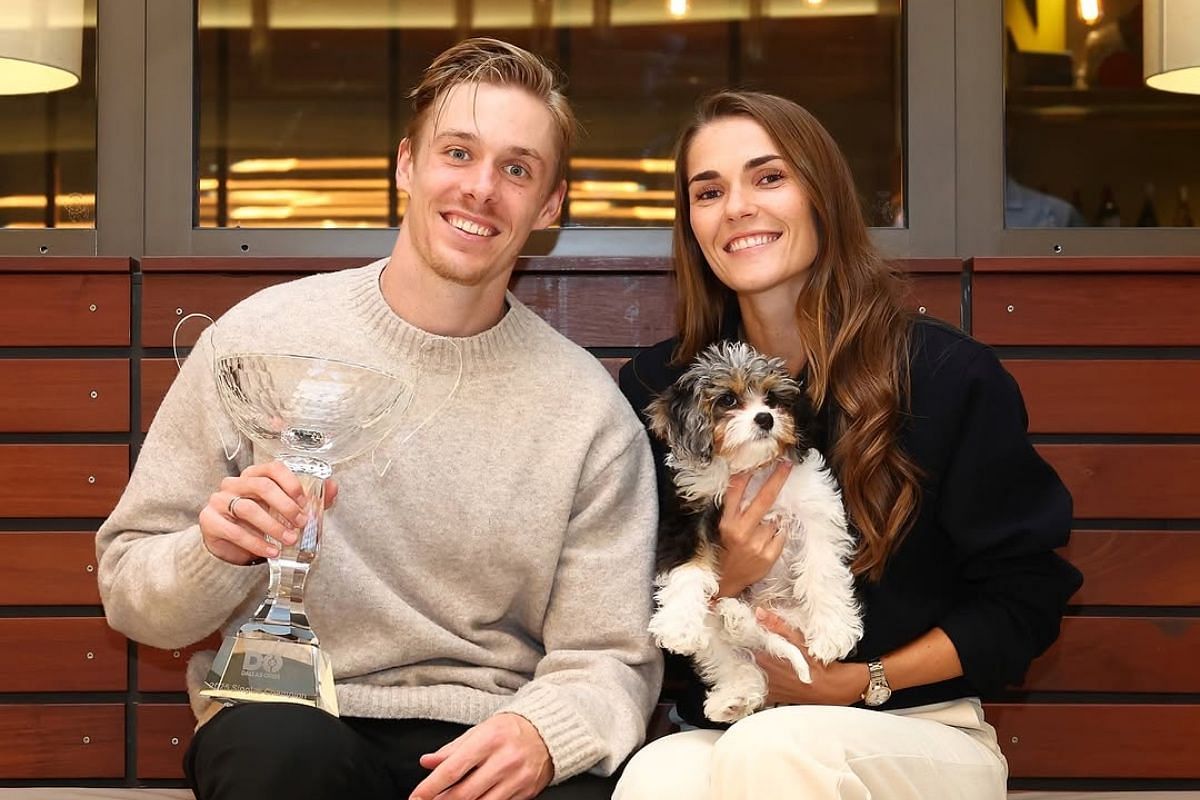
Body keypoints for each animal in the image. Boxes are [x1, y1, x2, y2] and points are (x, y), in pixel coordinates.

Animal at [648, 340, 864, 724]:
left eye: (773, 398)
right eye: (728, 400)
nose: (765, 418)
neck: (751, 468)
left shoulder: (816, 511)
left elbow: (822, 571)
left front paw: (833, 631)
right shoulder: (689, 513)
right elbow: (688, 569)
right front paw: (678, 625)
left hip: (787, 614)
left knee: (766, 634)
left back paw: (739, 621)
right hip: (719, 631)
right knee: (731, 655)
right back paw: (734, 691)